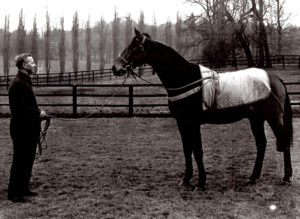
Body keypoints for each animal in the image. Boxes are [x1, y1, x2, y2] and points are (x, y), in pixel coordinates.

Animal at [112, 28, 292, 190]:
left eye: (134, 46)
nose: (115, 67)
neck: (184, 78)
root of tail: (275, 79)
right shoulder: (182, 123)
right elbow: (187, 150)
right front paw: (186, 179)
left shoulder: (193, 123)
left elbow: (197, 151)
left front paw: (201, 182)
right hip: (256, 119)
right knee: (261, 144)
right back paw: (253, 177)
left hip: (273, 118)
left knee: (283, 142)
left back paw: (286, 177)